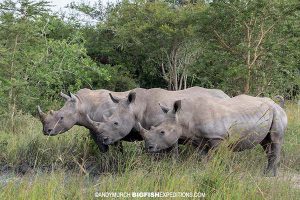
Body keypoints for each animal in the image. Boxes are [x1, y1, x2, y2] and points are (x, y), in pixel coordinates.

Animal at [139, 94, 288, 176]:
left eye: (162, 132)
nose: (149, 147)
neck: (184, 118)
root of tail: (277, 104)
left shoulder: (218, 137)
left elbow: (218, 158)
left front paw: (220, 172)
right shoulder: (199, 140)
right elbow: (202, 157)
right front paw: (203, 171)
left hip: (277, 114)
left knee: (275, 140)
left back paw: (269, 176)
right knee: (266, 143)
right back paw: (269, 173)